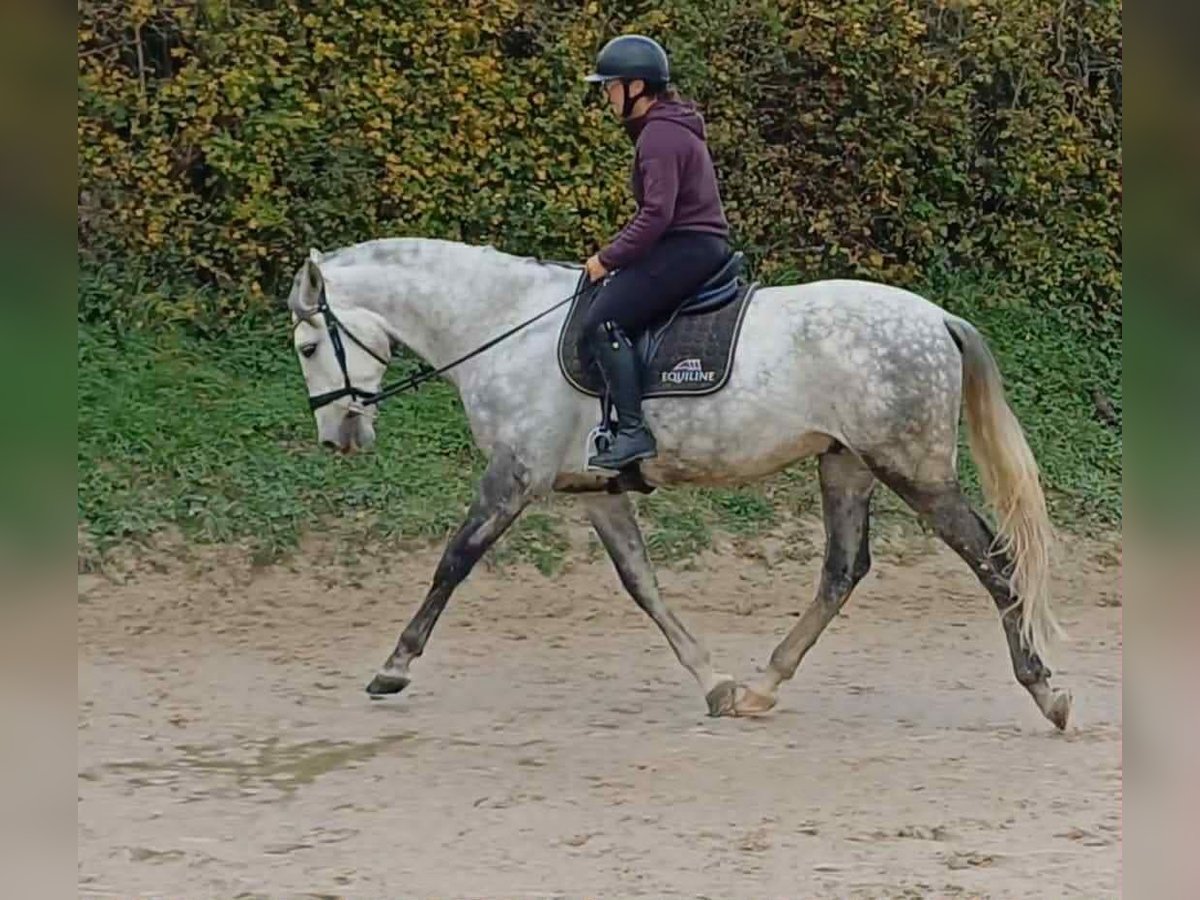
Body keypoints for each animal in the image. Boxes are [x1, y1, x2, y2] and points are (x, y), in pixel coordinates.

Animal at [286, 236, 1071, 730]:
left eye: (308, 345)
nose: (338, 438)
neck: (504, 328)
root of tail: (936, 318)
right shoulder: (594, 493)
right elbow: (642, 583)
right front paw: (715, 683)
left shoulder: (515, 474)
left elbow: (453, 561)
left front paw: (393, 668)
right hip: (845, 463)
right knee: (843, 571)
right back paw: (761, 686)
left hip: (912, 469)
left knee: (994, 561)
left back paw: (1046, 690)